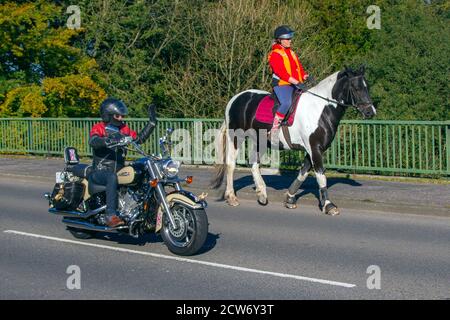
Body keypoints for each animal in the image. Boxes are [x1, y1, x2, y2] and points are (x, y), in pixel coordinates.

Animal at [211, 64, 376, 215]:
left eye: (367, 86)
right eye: (356, 88)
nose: (371, 112)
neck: (320, 109)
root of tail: (235, 98)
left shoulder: (312, 149)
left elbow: (303, 173)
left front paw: (289, 198)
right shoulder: (315, 148)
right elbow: (321, 176)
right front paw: (328, 205)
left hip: (260, 141)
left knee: (254, 163)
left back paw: (262, 194)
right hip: (235, 137)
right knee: (231, 164)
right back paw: (231, 197)